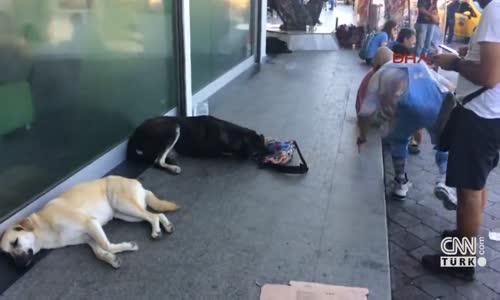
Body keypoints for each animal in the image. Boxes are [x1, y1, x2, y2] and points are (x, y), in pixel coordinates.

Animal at [0, 175, 180, 268]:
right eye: (7, 254)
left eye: (15, 242)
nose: (19, 266)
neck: (41, 228)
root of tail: (137, 183)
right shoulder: (88, 237)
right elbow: (99, 252)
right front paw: (110, 258)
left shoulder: (90, 223)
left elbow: (107, 245)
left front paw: (128, 246)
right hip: (124, 213)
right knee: (157, 214)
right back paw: (166, 225)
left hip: (123, 204)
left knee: (152, 216)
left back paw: (156, 231)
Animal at [127, 116, 268, 175]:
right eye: (257, 154)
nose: (263, 165)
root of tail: (134, 135)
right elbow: (230, 153)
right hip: (173, 127)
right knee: (157, 161)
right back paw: (173, 168)